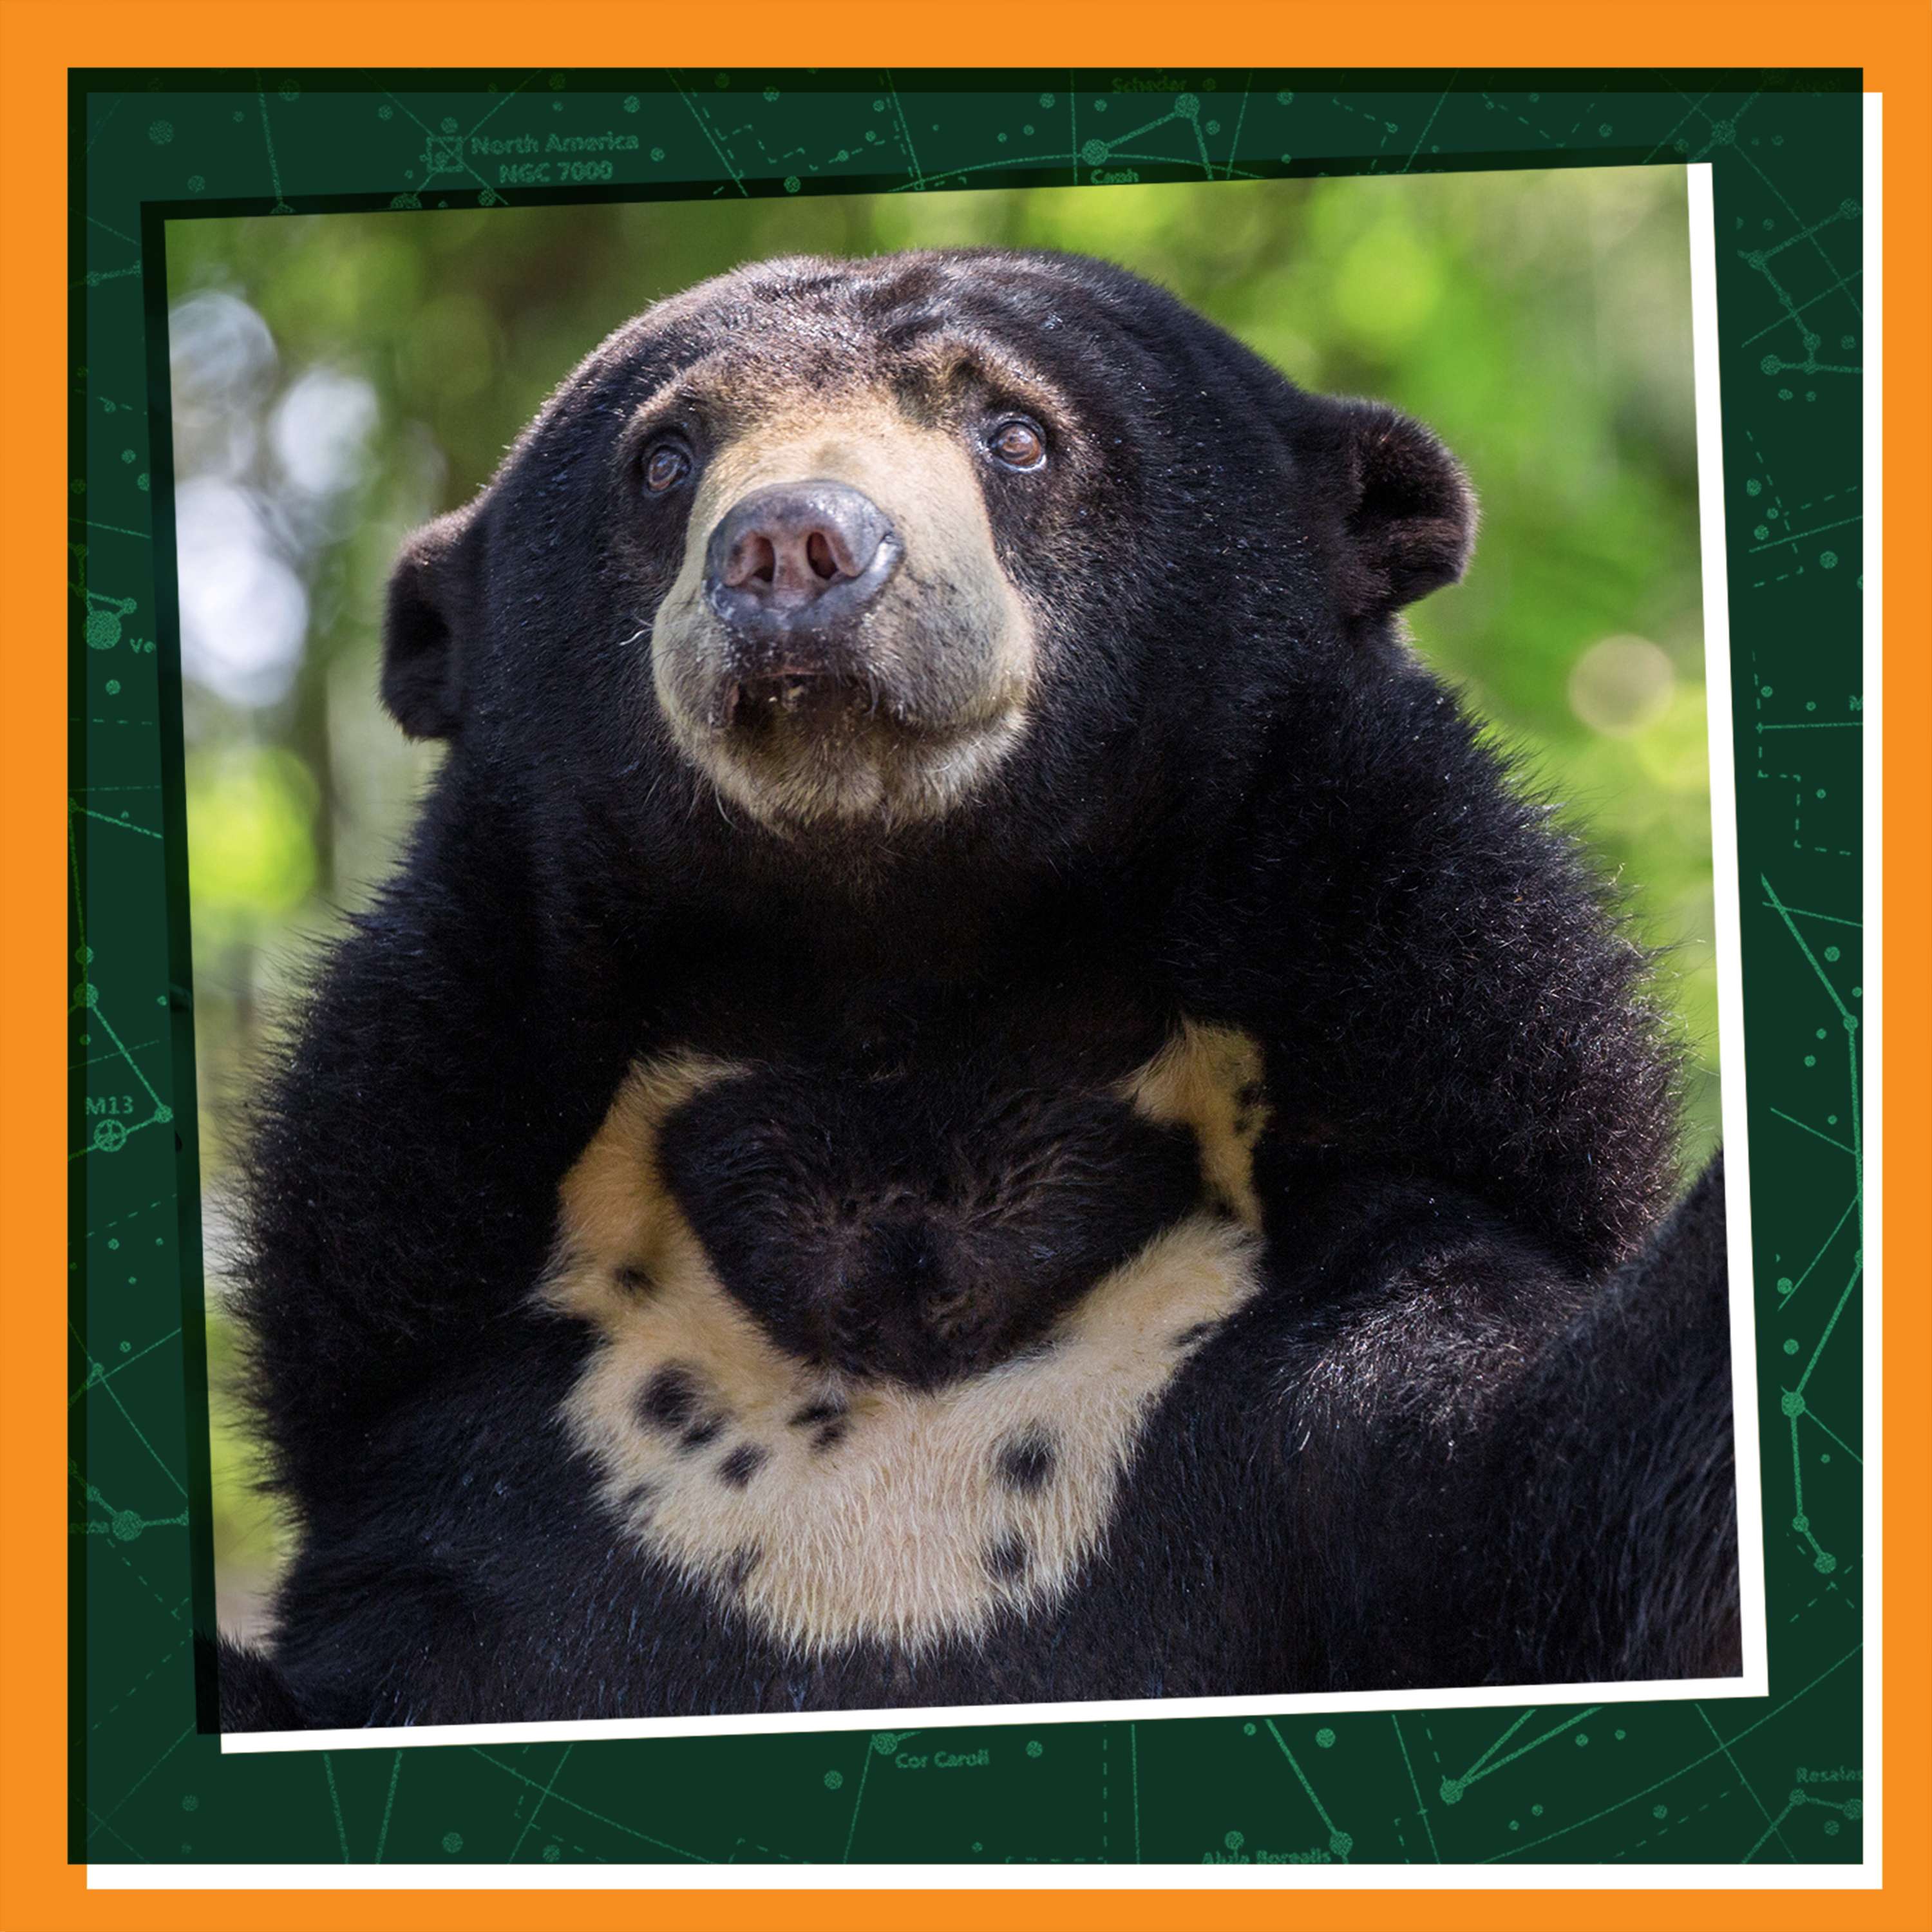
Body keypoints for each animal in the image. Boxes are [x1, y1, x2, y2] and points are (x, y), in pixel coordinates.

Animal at [212, 247, 1741, 1731]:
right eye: (663, 460)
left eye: (1017, 435)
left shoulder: (1368, 1283)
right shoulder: (473, 1450)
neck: (907, 1034)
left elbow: (1581, 1512)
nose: (792, 547)